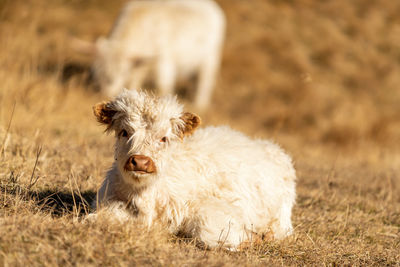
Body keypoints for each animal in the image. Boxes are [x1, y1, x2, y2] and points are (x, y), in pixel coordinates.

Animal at [76, 0, 225, 111]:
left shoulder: (164, 60)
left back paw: (200, 105)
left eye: (123, 72)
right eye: (94, 69)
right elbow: (135, 80)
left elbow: (163, 85)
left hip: (210, 58)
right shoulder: (140, 63)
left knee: (205, 82)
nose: (103, 92)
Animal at [92, 90, 296, 251]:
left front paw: (252, 239)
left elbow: (210, 233)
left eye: (164, 138)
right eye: (124, 132)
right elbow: (98, 218)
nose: (141, 162)